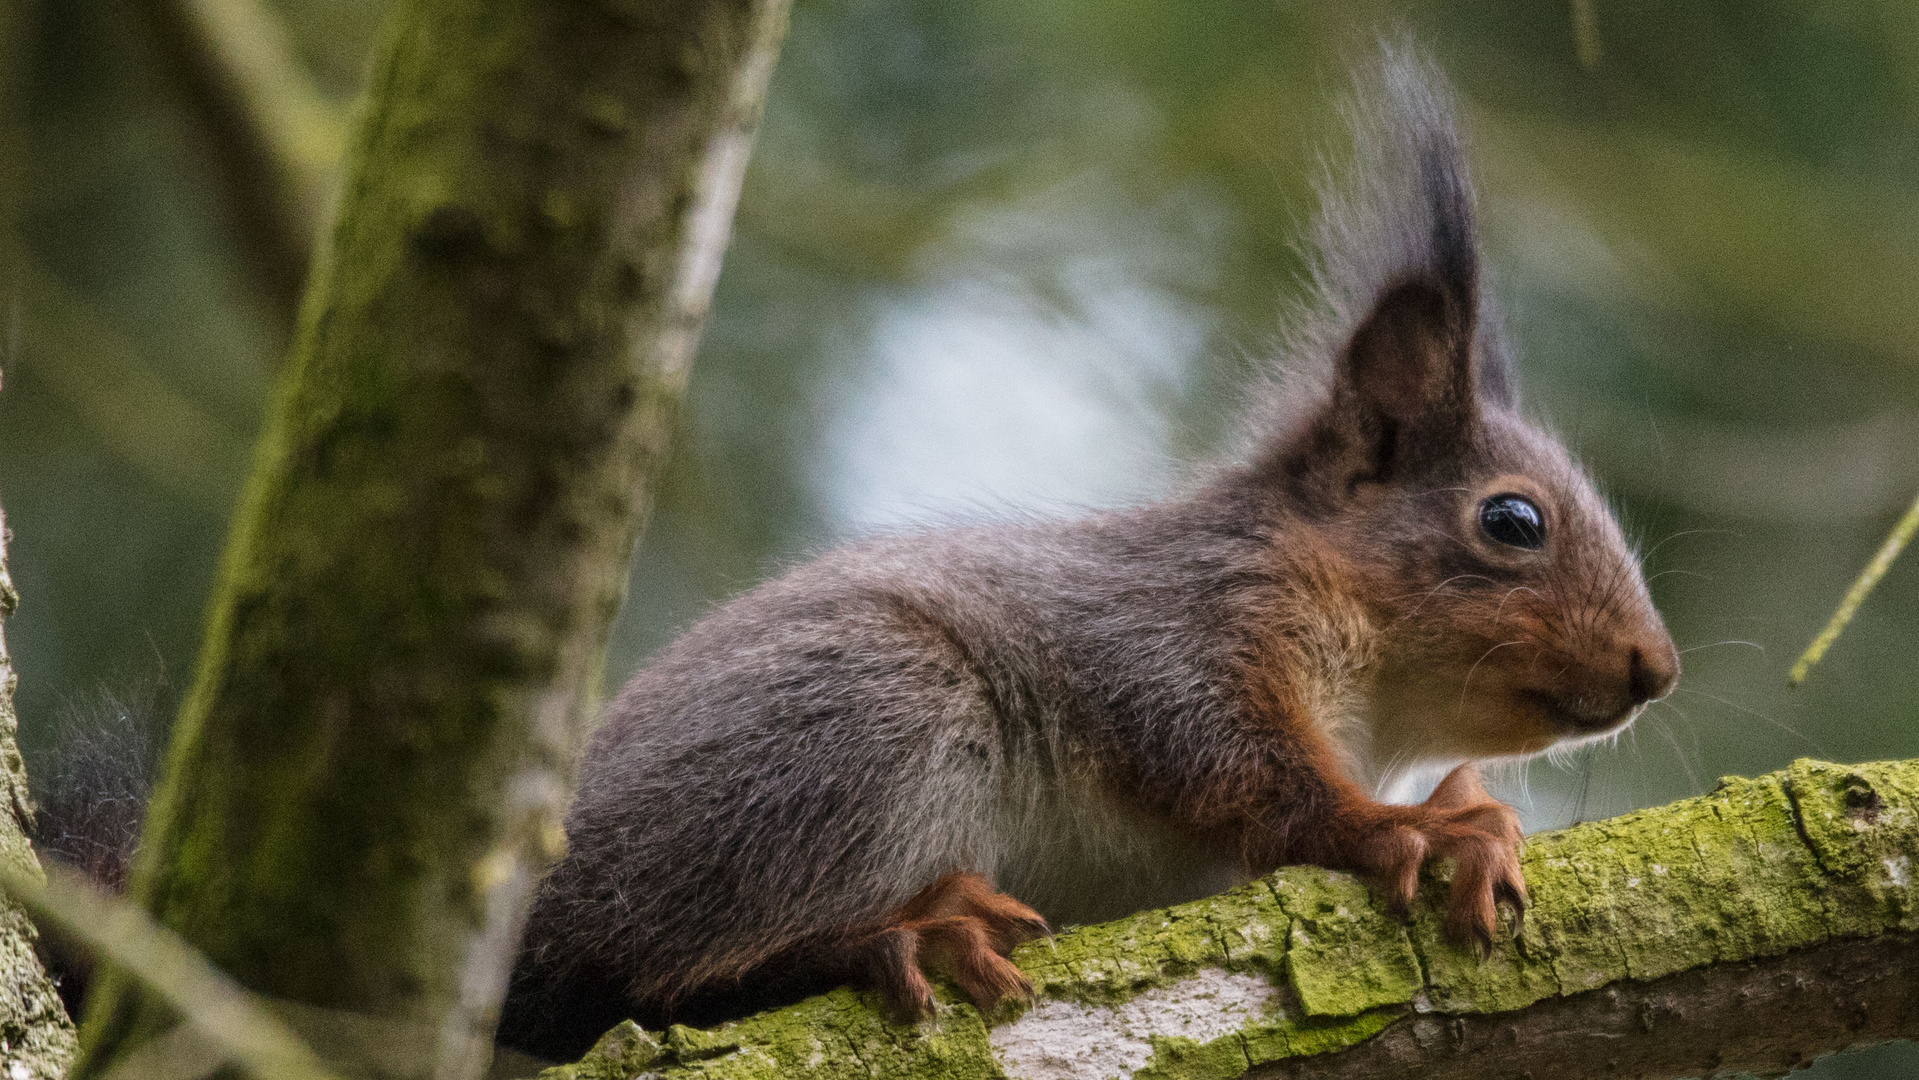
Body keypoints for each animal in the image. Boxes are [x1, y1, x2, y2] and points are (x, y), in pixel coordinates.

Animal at [498, 46, 1681, 1058]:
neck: (1377, 701)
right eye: (1511, 522)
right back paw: (895, 934)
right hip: (860, 719)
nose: (1654, 670)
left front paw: (1467, 811)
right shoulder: (1174, 633)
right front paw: (1419, 826)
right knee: (651, 974)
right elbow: (1239, 769)